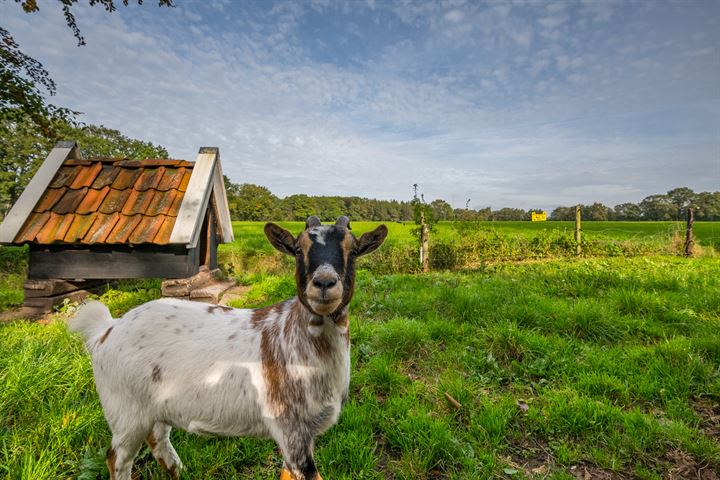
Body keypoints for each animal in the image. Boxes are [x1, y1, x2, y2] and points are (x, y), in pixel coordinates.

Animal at [67, 218, 388, 480]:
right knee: (117, 458)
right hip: (125, 412)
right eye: (298, 249)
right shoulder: (289, 427)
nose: (324, 283)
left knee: (159, 442)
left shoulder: (303, 434)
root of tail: (106, 329)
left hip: (154, 408)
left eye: (354, 250)